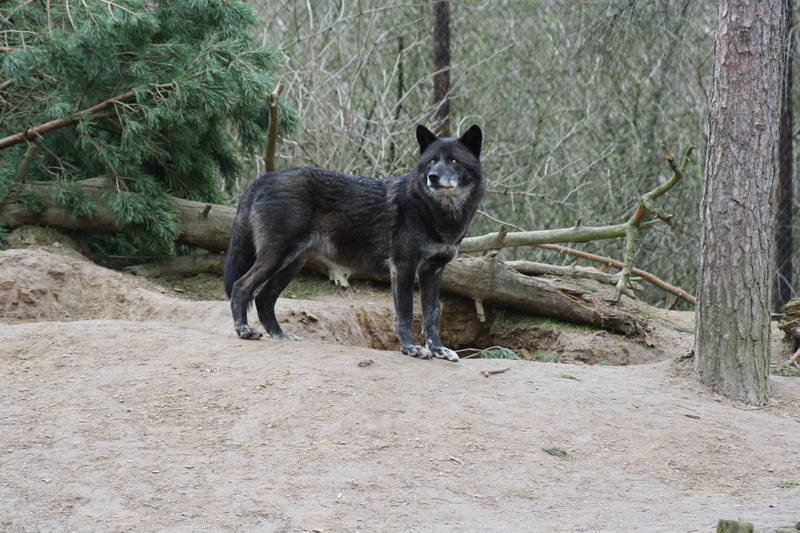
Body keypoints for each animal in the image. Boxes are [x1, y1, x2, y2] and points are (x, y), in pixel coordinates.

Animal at [223, 124, 483, 362]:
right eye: (431, 161)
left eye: (453, 160)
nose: (433, 177)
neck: (437, 213)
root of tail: (266, 177)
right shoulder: (403, 267)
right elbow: (406, 312)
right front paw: (410, 348)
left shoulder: (433, 271)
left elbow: (431, 315)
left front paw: (439, 350)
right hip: (276, 257)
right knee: (241, 286)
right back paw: (244, 330)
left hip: (291, 264)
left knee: (263, 299)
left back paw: (279, 334)